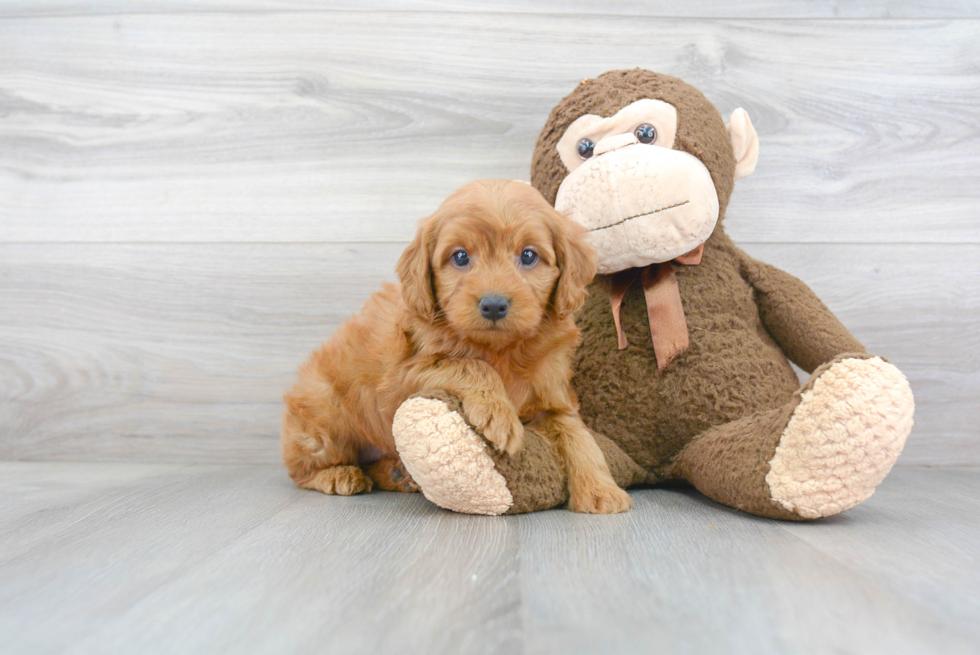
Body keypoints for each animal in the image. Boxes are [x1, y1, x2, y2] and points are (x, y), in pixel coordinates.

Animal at [282, 178, 636, 512]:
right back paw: (338, 474)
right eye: (461, 257)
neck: (501, 350)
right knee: (301, 470)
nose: (493, 305)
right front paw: (499, 416)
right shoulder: (401, 378)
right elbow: (468, 364)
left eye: (528, 255)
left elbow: (578, 435)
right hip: (324, 420)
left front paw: (600, 491)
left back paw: (397, 473)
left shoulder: (554, 394)